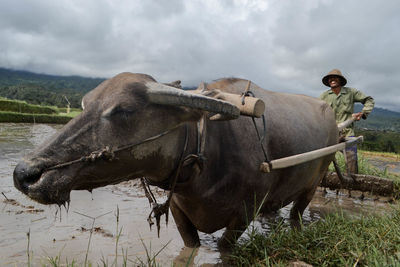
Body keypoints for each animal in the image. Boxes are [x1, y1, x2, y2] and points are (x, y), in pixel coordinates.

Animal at [13, 71, 338, 249]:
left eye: (124, 110)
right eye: (84, 106)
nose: (24, 174)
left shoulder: (244, 214)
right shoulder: (181, 212)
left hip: (312, 185)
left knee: (297, 214)